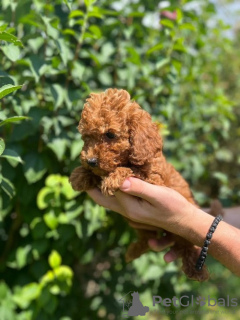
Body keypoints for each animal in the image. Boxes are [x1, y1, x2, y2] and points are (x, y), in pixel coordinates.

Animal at [70, 89, 210, 282]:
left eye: (110, 134)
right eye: (86, 137)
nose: (90, 161)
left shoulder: (153, 180)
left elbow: (132, 169)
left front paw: (113, 178)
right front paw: (80, 175)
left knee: (188, 246)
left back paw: (196, 270)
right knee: (149, 241)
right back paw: (133, 252)